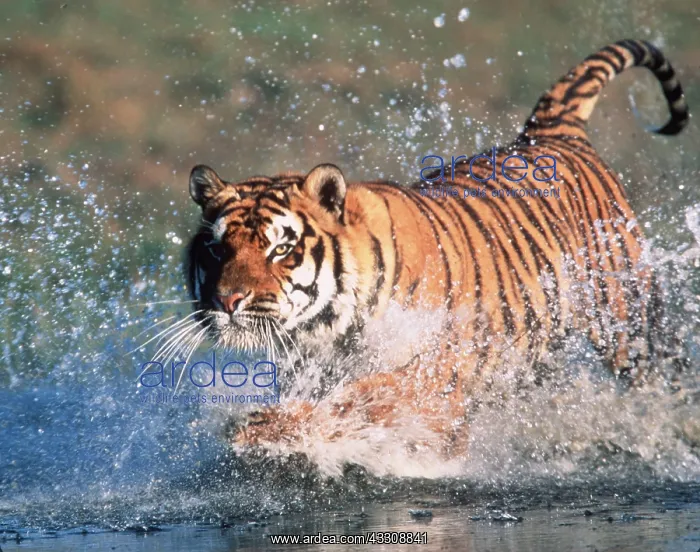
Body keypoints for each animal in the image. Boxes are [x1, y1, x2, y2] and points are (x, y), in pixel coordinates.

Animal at [185, 39, 688, 456]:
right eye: (218, 250)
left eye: (279, 250)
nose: (227, 301)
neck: (326, 329)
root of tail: (549, 133)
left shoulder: (435, 368)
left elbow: (362, 399)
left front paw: (266, 429)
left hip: (634, 326)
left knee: (665, 382)